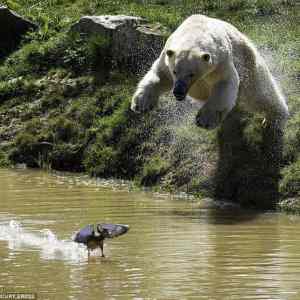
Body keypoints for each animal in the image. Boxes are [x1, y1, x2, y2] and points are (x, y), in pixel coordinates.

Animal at [131, 14, 288, 129]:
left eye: (191, 74)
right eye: (175, 72)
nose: (178, 92)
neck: (193, 34)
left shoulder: (219, 62)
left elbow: (224, 83)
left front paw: (205, 120)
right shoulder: (167, 56)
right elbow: (160, 76)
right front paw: (141, 104)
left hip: (246, 57)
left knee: (258, 91)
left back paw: (275, 117)